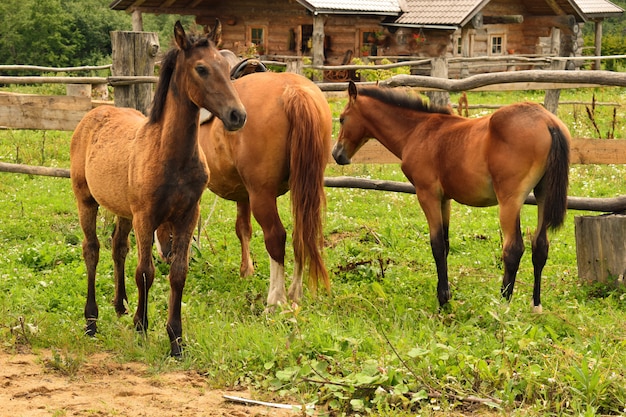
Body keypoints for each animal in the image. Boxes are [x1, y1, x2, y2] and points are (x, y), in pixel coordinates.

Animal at [68, 21, 244, 356]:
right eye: (201, 68)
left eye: (227, 68)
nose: (237, 115)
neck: (170, 155)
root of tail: (92, 115)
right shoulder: (146, 216)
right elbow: (145, 272)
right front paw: (142, 326)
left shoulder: (187, 216)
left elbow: (178, 273)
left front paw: (176, 339)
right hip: (87, 200)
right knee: (92, 249)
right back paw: (91, 321)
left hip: (123, 210)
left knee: (118, 246)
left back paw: (120, 305)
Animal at [158, 70, 332, 306]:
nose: (164, 256)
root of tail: (293, 91)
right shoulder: (243, 194)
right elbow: (243, 229)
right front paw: (246, 271)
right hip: (303, 190)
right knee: (301, 234)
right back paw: (295, 292)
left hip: (263, 195)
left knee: (276, 237)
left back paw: (275, 299)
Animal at [334, 81, 568, 310]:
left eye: (342, 118)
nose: (337, 154)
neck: (417, 131)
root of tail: (548, 122)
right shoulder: (445, 199)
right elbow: (446, 245)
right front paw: (447, 295)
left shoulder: (427, 194)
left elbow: (437, 245)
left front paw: (443, 300)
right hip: (542, 195)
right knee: (540, 246)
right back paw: (536, 306)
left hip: (509, 201)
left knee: (513, 249)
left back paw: (501, 306)